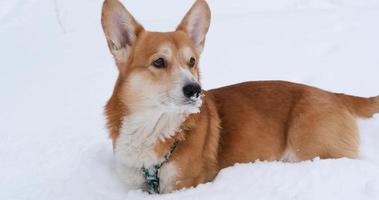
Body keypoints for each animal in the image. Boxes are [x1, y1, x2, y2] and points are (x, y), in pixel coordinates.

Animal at [101, 0, 379, 195]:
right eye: (159, 62)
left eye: (192, 62)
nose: (195, 90)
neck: (153, 126)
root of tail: (334, 95)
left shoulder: (183, 184)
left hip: (309, 146)